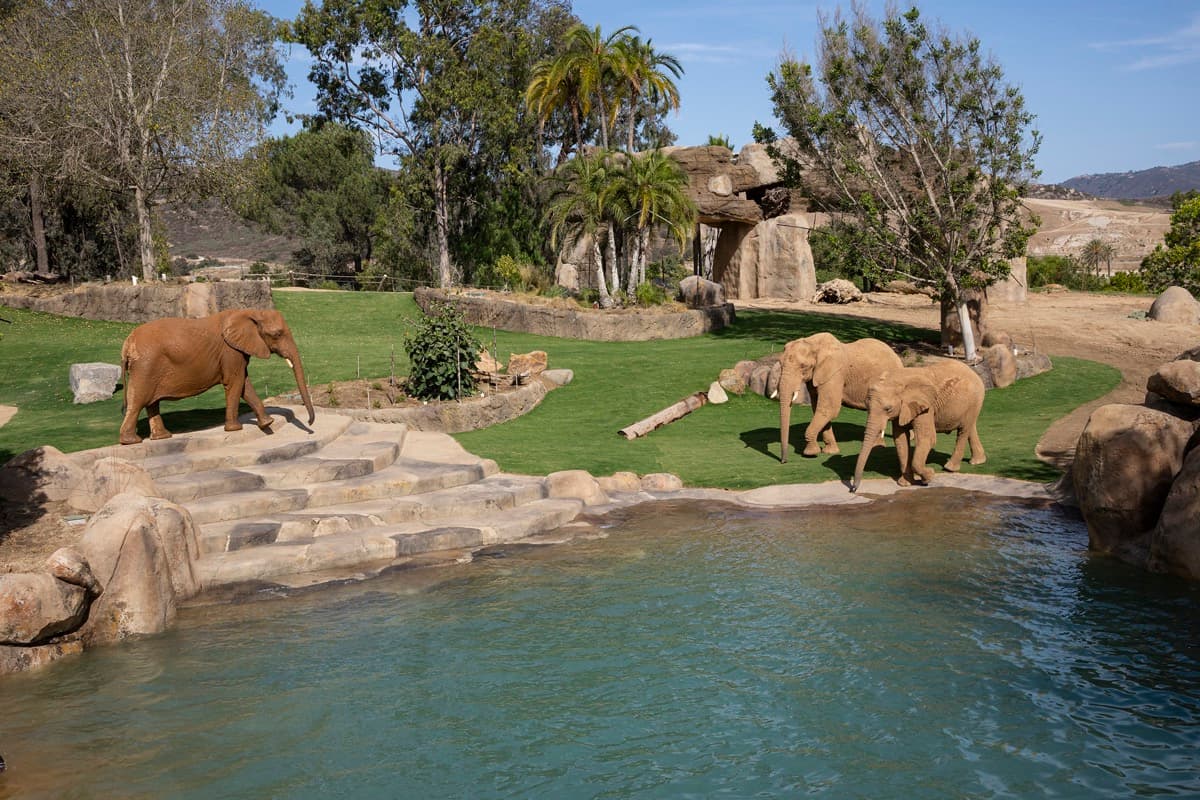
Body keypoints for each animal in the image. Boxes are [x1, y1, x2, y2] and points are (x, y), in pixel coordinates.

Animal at [119, 308, 315, 445]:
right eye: (277, 334)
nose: (310, 425)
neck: (250, 311)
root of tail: (126, 344)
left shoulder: (236, 351)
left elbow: (244, 384)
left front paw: (267, 423)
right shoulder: (230, 352)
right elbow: (235, 382)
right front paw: (236, 429)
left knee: (151, 403)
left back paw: (162, 437)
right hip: (145, 366)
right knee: (138, 400)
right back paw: (132, 441)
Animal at [778, 332, 903, 462]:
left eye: (803, 366)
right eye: (780, 363)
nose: (784, 461)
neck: (813, 342)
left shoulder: (835, 374)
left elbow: (829, 409)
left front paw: (810, 453)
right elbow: (819, 409)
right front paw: (830, 452)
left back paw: (877, 447)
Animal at [851, 359, 986, 491]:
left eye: (888, 409)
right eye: (867, 407)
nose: (853, 489)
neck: (897, 379)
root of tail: (973, 372)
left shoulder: (926, 406)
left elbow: (927, 438)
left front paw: (929, 477)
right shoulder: (903, 407)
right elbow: (900, 440)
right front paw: (905, 484)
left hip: (975, 399)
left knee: (963, 431)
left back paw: (950, 468)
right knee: (970, 428)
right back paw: (977, 461)